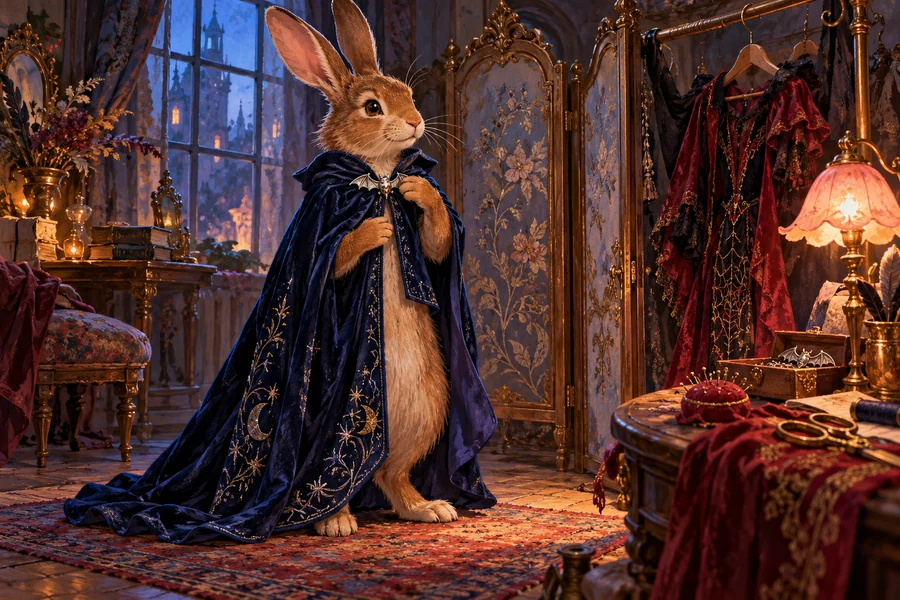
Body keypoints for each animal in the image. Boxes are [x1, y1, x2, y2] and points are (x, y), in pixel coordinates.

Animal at [266, 0, 457, 537]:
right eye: (373, 107)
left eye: (408, 95)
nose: (415, 122)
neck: (378, 178)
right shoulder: (323, 218)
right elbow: (336, 255)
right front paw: (376, 230)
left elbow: (437, 242)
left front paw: (419, 190)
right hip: (337, 427)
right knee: (336, 475)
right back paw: (335, 522)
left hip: (428, 415)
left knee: (391, 475)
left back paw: (429, 508)